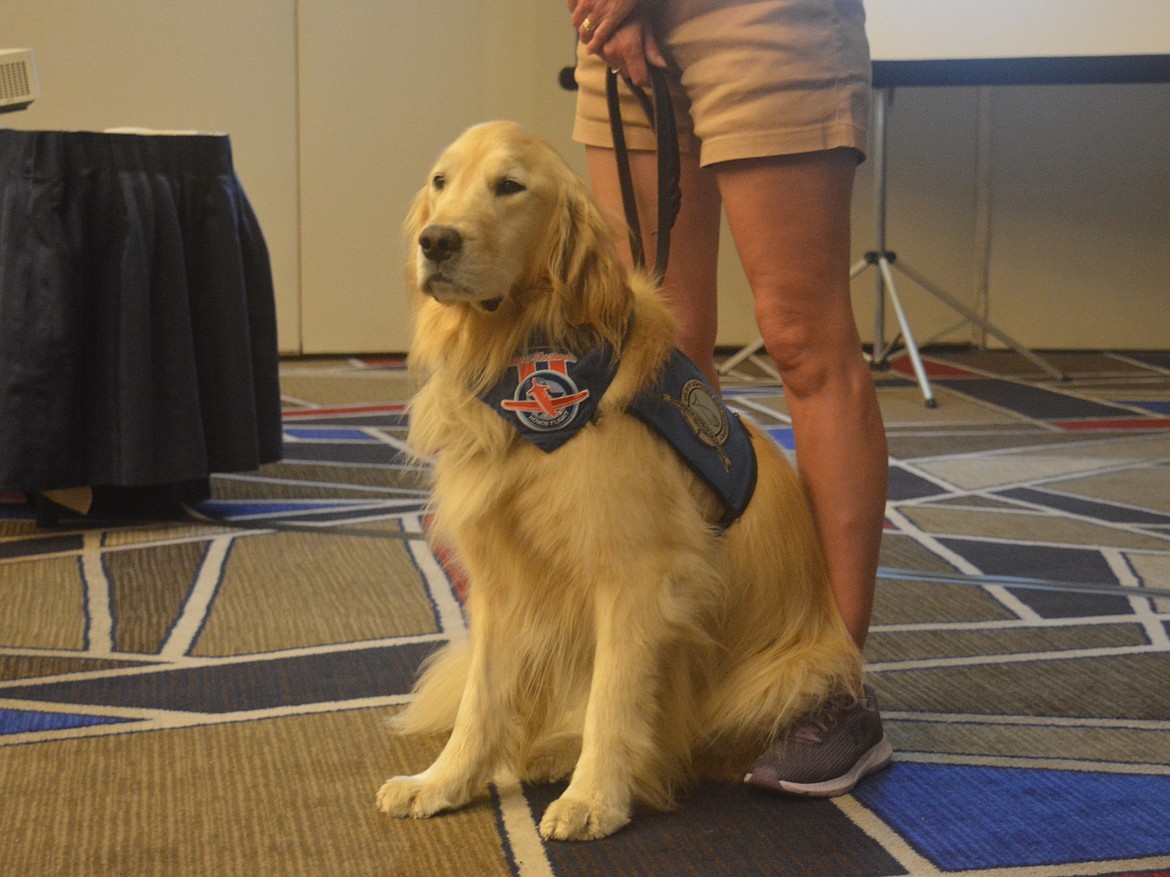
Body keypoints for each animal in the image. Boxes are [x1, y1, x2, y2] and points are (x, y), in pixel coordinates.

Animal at [376, 120, 861, 841]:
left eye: (510, 186)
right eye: (441, 181)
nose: (435, 241)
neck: (520, 351)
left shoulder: (638, 575)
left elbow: (615, 696)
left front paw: (595, 798)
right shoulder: (501, 580)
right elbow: (481, 700)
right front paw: (442, 782)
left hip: (791, 671)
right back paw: (551, 748)